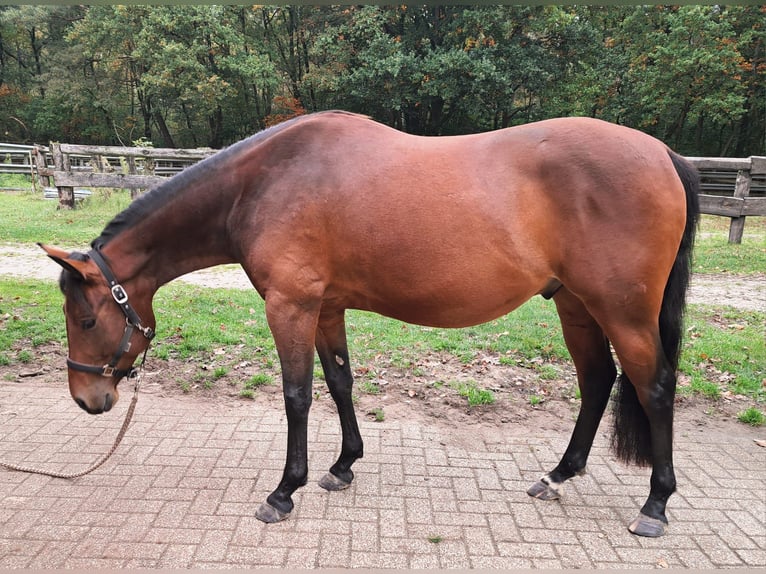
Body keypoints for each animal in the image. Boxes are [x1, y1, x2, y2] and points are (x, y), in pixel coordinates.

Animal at [40, 110, 699, 537]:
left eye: (87, 316)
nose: (86, 398)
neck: (264, 183)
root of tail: (663, 154)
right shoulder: (326, 308)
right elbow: (340, 383)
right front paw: (342, 466)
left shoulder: (290, 306)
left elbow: (297, 395)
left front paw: (285, 491)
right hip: (575, 305)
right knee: (597, 382)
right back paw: (559, 476)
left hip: (622, 311)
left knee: (654, 386)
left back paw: (656, 505)